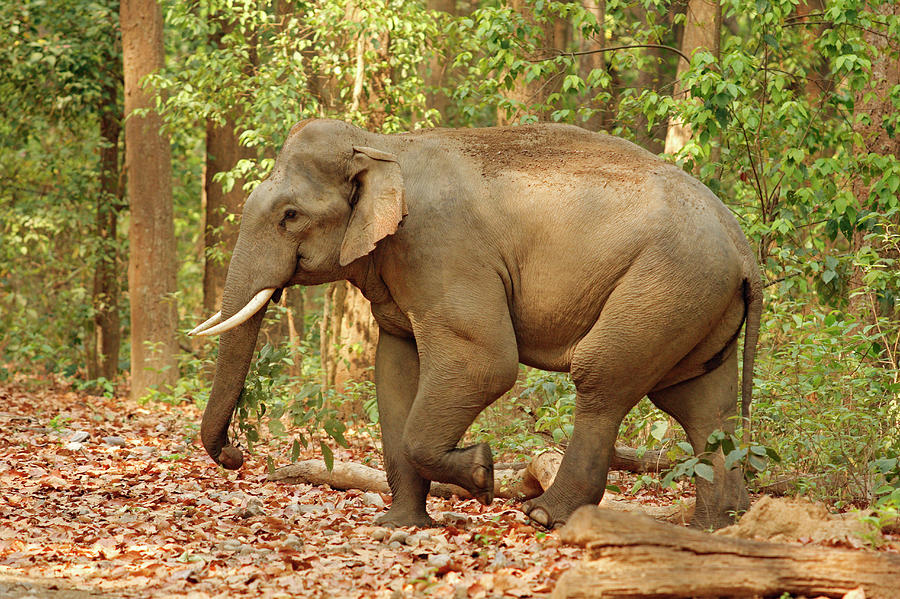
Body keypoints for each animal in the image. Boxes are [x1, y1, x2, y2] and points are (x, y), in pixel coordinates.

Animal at [190, 119, 760, 532]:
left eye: (289, 216)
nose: (236, 454)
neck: (380, 145)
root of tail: (744, 249)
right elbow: (394, 372)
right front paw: (398, 524)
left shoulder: (441, 250)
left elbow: (485, 363)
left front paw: (482, 473)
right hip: (697, 303)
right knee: (703, 405)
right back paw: (717, 527)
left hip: (667, 283)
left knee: (603, 376)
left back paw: (544, 516)